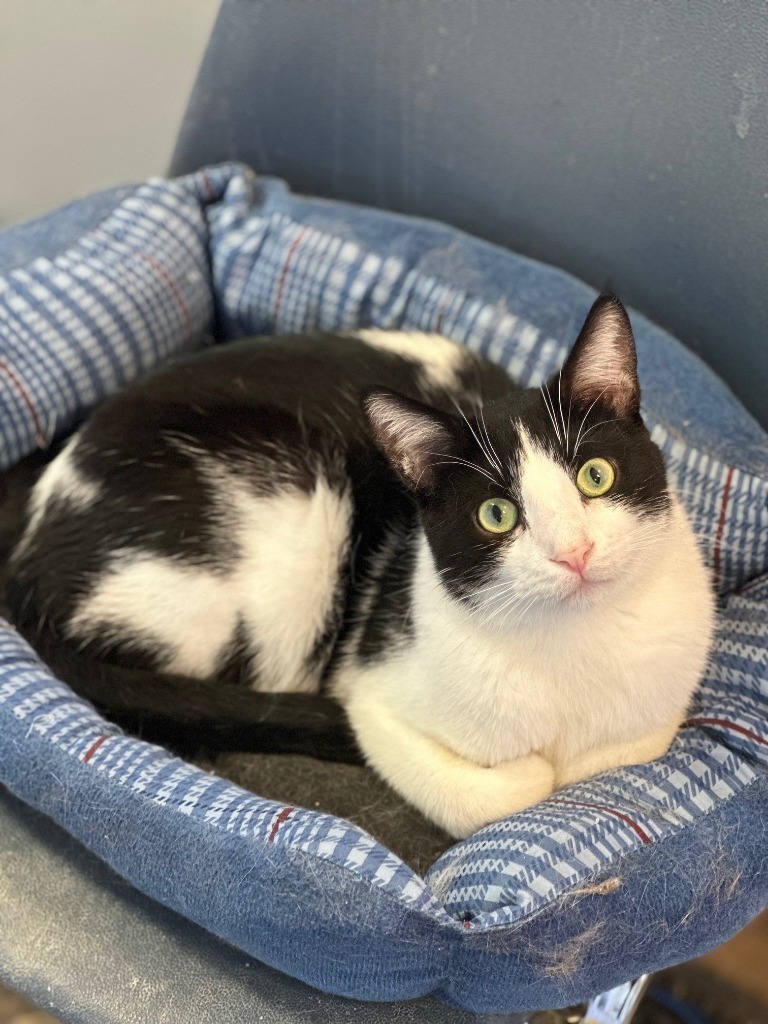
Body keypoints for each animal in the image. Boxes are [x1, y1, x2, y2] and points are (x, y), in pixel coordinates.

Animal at [6, 296, 716, 839]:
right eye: (497, 514)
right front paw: (531, 772)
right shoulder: (370, 691)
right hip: (291, 517)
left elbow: (632, 747)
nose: (574, 552)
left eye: (596, 475)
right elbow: (499, 792)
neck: (576, 650)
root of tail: (27, 563)